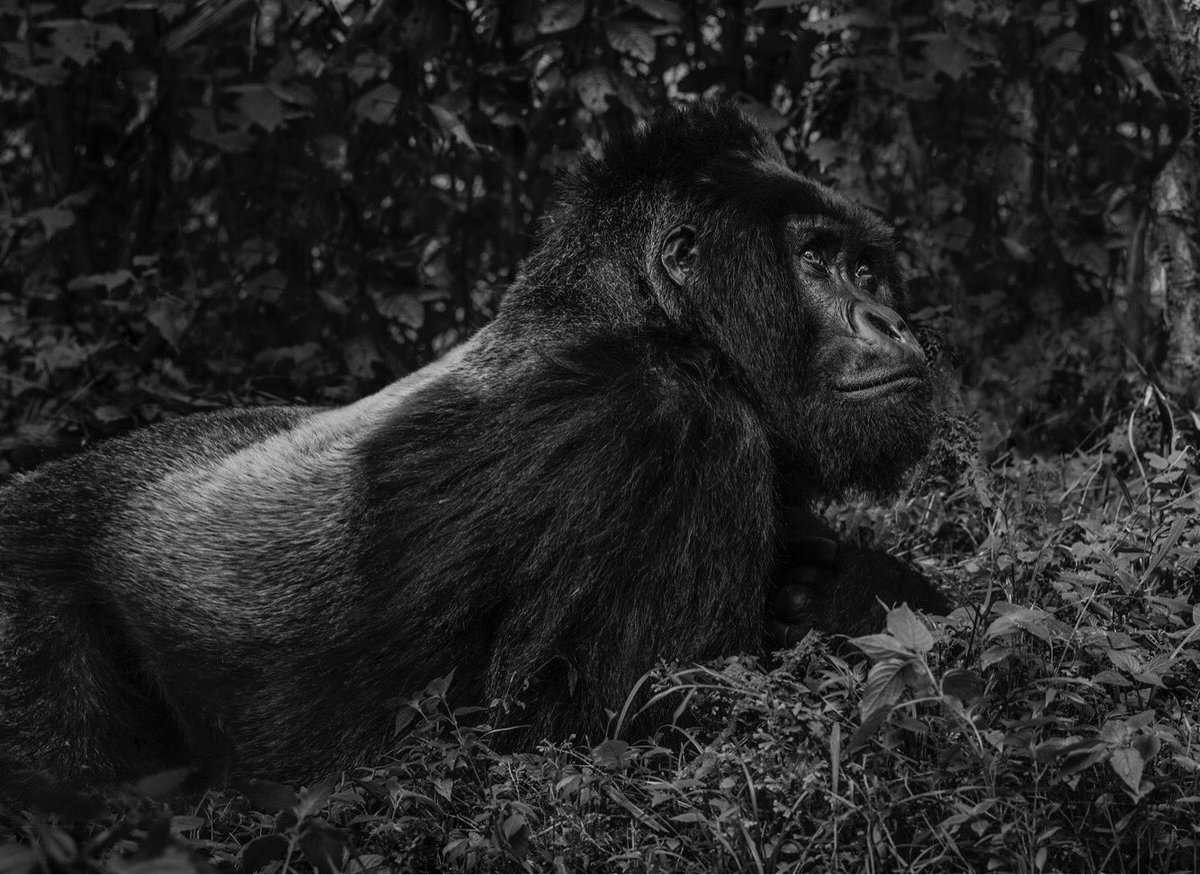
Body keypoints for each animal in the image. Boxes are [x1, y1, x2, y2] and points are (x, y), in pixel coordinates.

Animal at [0, 100, 945, 787]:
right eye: (814, 259)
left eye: (866, 268)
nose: (890, 320)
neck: (641, 315)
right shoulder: (665, 421)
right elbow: (626, 752)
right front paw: (860, 596)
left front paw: (856, 587)